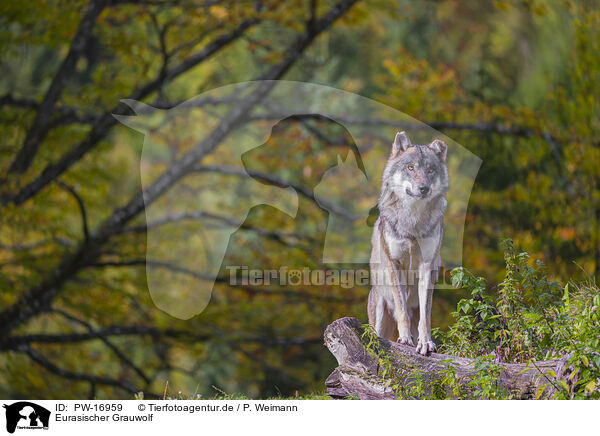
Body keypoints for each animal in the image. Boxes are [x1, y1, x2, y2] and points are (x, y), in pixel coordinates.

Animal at [368, 131, 448, 356]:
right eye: (410, 168)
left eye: (430, 170)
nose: (424, 188)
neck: (413, 221)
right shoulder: (395, 264)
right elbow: (401, 309)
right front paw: (404, 339)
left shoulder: (427, 266)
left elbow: (426, 318)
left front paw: (426, 342)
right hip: (379, 312)